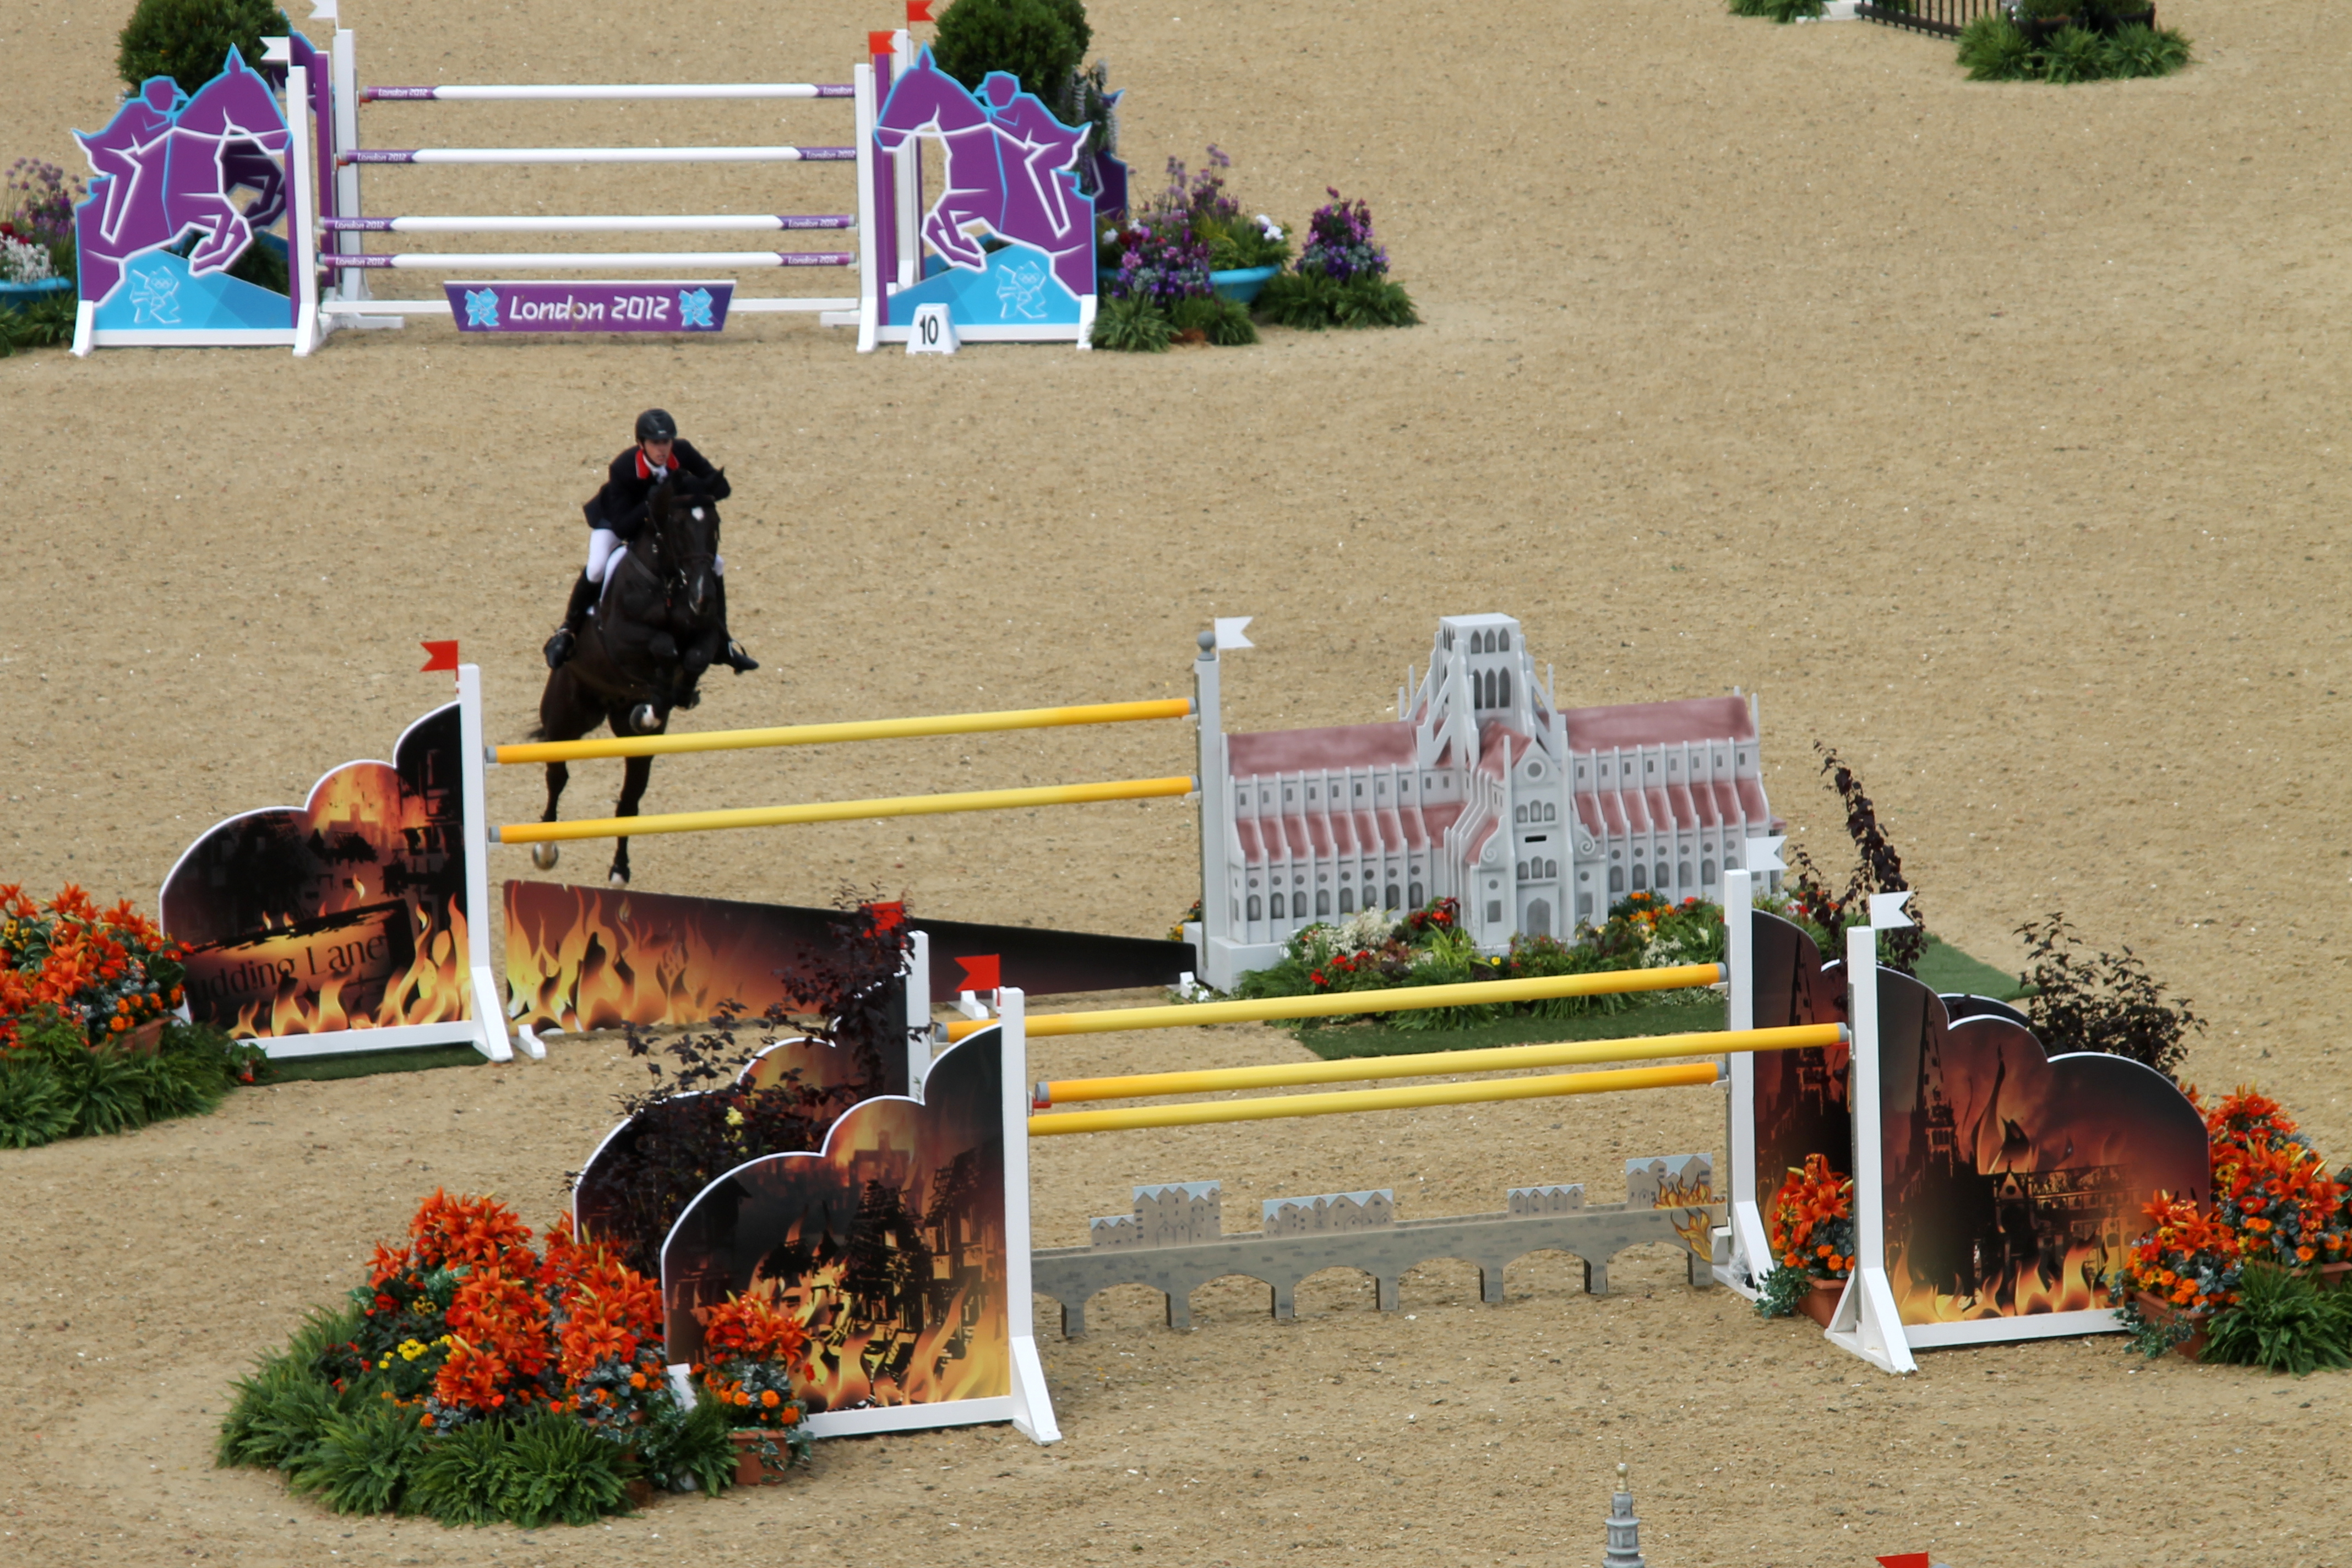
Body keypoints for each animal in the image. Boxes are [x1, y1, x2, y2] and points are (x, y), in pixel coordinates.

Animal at [73, 51, 289, 305]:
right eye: (252, 99)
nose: (282, 140)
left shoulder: (196, 213)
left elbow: (237, 224)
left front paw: (207, 253)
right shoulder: (186, 207)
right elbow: (230, 217)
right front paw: (207, 254)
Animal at [528, 476, 729, 887]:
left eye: (715, 526)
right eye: (678, 527)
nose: (702, 596)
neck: (668, 583)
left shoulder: (706, 635)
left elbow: (693, 656)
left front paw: (667, 701)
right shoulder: (622, 638)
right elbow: (664, 645)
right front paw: (659, 696)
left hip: (636, 748)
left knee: (628, 802)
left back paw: (620, 870)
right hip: (565, 719)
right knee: (557, 776)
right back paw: (545, 850)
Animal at [872, 51, 1095, 302]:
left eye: (909, 96)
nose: (884, 137)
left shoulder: (984, 202)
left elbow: (942, 214)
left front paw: (968, 250)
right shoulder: (975, 209)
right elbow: (934, 221)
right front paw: (967, 251)